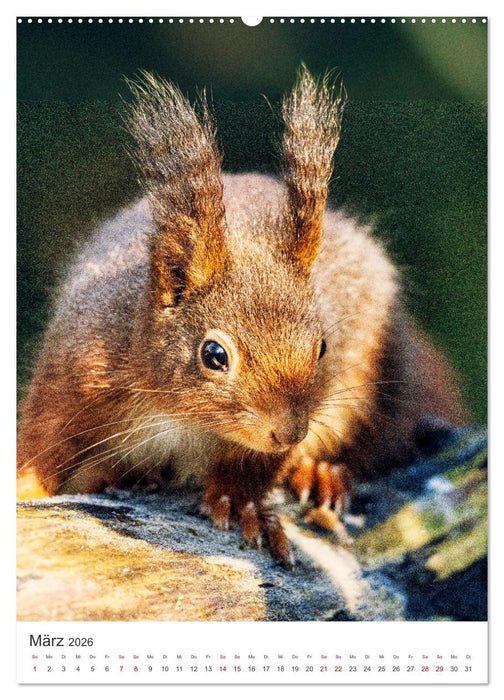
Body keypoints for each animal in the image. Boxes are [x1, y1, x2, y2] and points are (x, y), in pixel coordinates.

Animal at [17, 69, 467, 565]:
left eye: (322, 348)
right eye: (214, 355)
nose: (289, 433)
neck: (182, 416)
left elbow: (254, 466)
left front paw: (242, 503)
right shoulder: (79, 372)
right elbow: (42, 441)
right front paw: (24, 484)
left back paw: (320, 472)